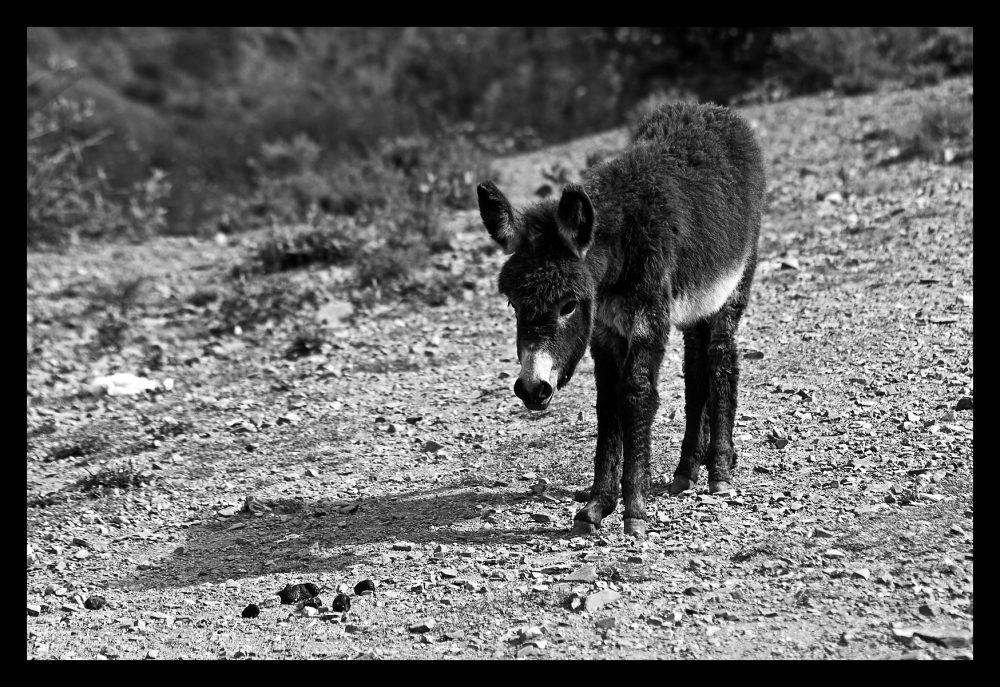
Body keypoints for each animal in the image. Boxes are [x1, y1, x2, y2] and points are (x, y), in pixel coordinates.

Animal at [478, 103, 764, 544]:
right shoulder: (606, 331)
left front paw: (635, 510)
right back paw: (688, 469)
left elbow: (636, 396)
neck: (618, 253)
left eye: (568, 306)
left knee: (721, 359)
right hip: (693, 306)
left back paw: (718, 468)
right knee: (696, 368)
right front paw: (596, 507)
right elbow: (607, 403)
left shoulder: (648, 322)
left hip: (733, 285)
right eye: (512, 303)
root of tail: (713, 111)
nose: (531, 390)